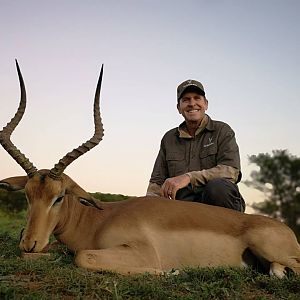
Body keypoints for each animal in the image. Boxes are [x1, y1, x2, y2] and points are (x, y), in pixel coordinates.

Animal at [0, 61, 300, 278]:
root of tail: (284, 229)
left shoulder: (141, 251)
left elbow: (82, 256)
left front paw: (171, 272)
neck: (97, 219)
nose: (29, 242)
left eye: (59, 196)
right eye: (27, 195)